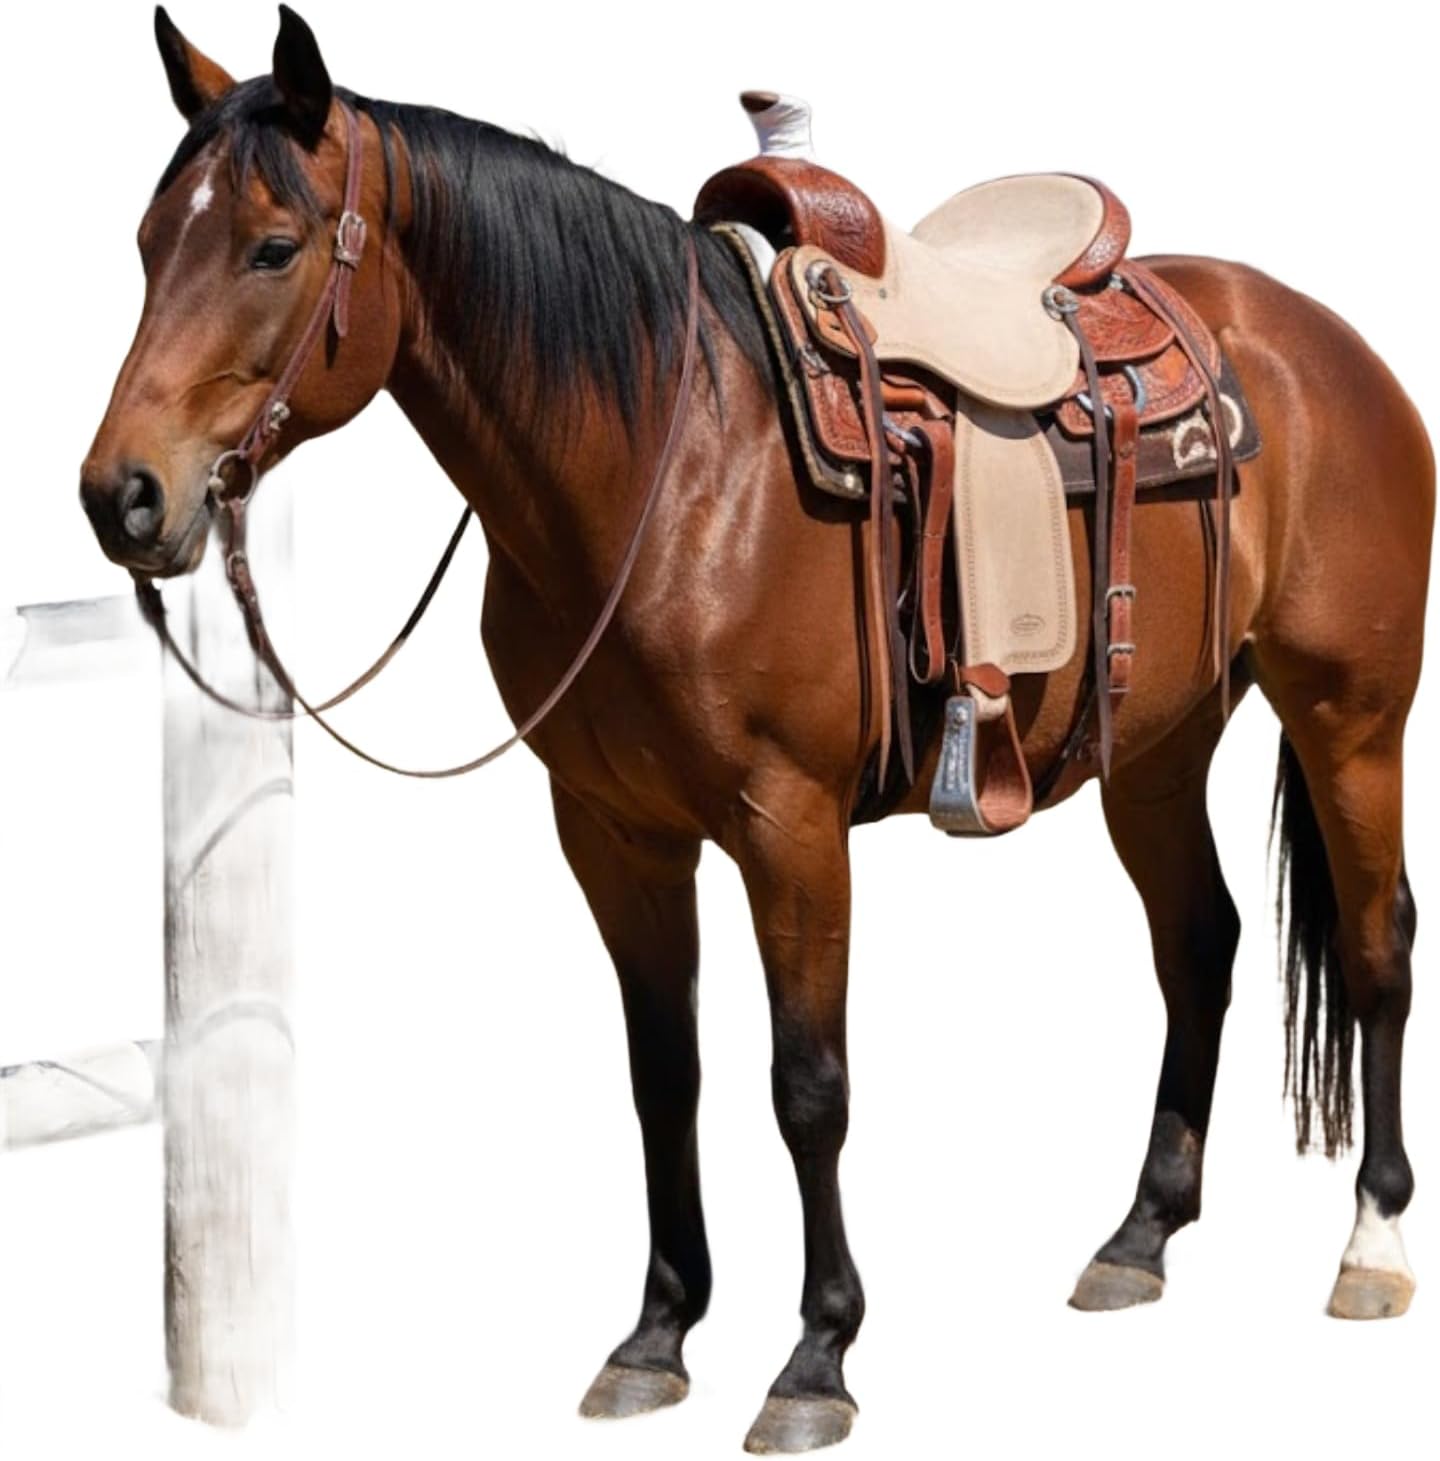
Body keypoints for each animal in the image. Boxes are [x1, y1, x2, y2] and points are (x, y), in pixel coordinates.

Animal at [80, 6, 1433, 1453]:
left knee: (1376, 944)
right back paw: (1140, 1237)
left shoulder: (791, 828)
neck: (667, 470)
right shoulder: (614, 833)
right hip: (1159, 747)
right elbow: (662, 1073)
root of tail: (1319, 342)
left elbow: (808, 1085)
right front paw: (657, 1334)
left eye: (274, 247)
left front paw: (817, 1357)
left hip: (1351, 716)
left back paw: (1371, 1245)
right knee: (1201, 944)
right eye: (146, 243)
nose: (122, 496)